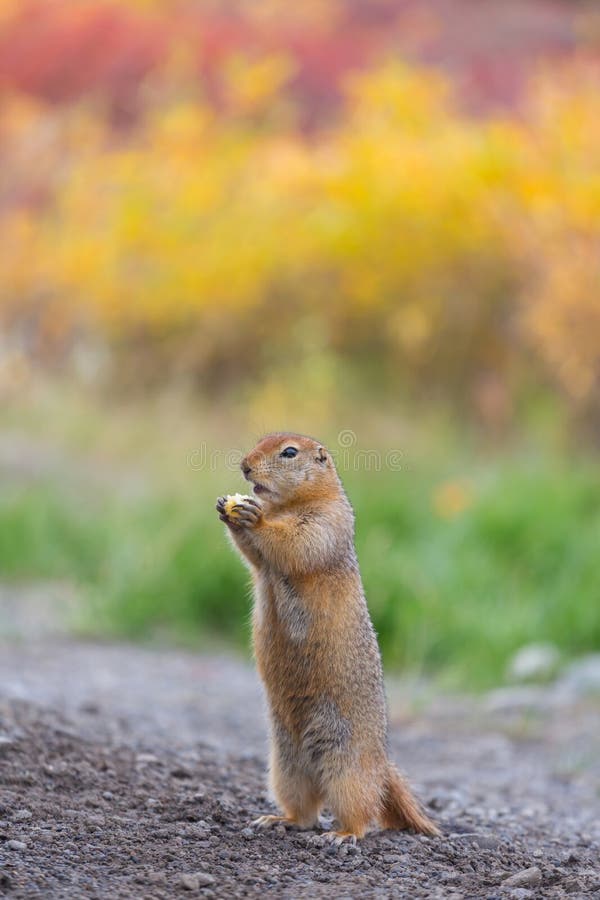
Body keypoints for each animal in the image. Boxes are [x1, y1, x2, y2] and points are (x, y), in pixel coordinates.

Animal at [216, 432, 439, 845]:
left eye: (289, 452)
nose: (244, 465)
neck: (288, 505)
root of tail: (382, 765)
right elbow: (256, 557)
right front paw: (227, 508)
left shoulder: (327, 520)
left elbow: (298, 542)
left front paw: (253, 517)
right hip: (285, 766)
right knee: (306, 811)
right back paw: (278, 819)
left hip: (346, 765)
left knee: (360, 809)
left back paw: (342, 834)